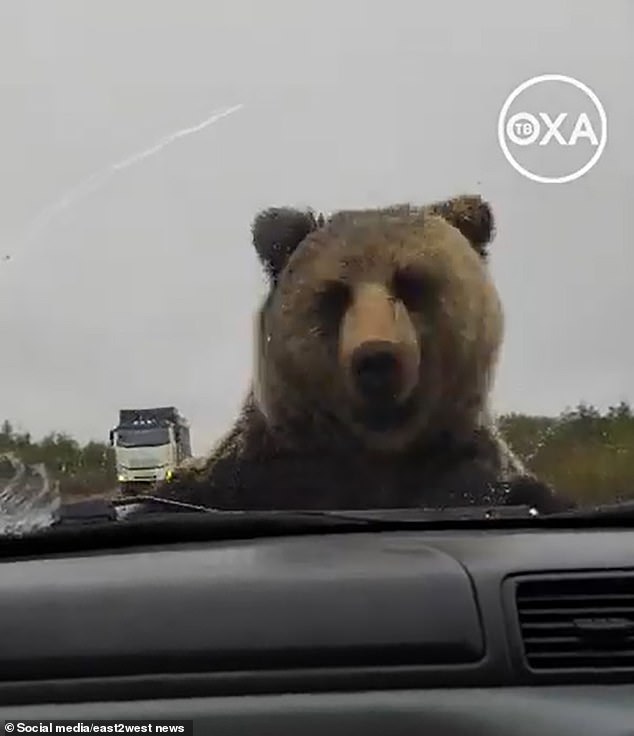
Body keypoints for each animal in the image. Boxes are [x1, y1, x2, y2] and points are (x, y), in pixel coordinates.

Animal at [156, 194, 571, 514]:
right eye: (335, 294)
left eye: (411, 284)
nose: (376, 359)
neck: (378, 454)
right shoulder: (257, 474)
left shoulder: (467, 469)